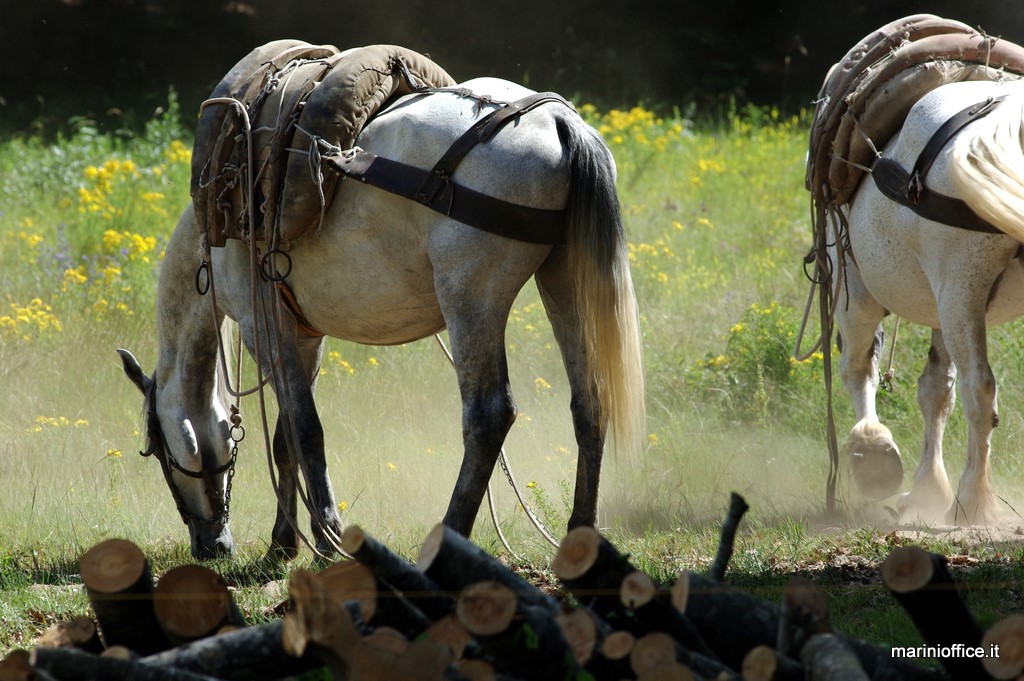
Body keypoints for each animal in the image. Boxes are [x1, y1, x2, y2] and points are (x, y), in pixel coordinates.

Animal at [118, 75, 646, 561]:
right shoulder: (301, 336)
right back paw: (579, 536)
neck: (219, 233)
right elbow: (286, 438)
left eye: (157, 452)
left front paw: (326, 538)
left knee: (488, 416)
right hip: (565, 284)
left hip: (472, 301)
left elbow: (305, 430)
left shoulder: (261, 329)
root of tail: (555, 120)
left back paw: (449, 536)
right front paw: (282, 544)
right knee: (589, 402)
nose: (210, 547)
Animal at [831, 76, 1024, 526]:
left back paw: (956, 495)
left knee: (957, 387)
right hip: (929, 296)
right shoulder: (948, 298)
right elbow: (952, 391)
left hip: (941, 294)